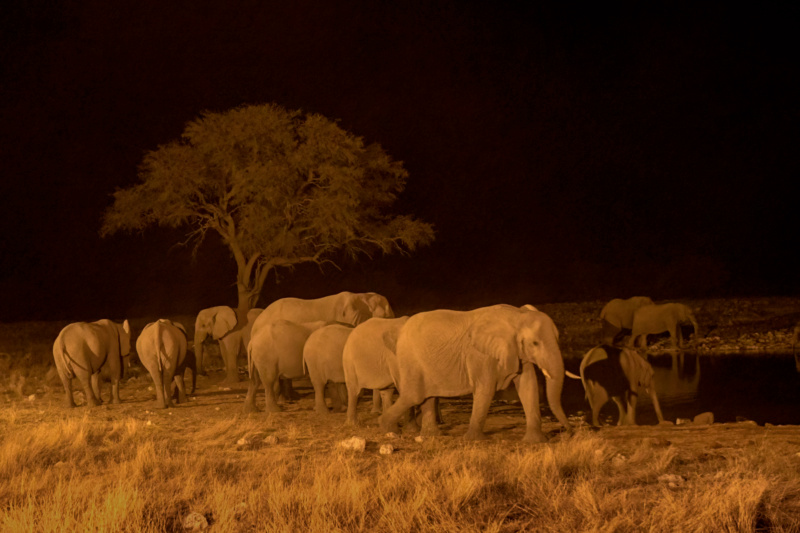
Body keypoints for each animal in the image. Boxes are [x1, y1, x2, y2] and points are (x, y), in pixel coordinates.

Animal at [378, 304, 572, 440]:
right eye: (535, 343)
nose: (570, 432)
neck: (517, 316)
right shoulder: (479, 355)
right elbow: (486, 389)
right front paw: (475, 440)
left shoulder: (517, 352)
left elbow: (528, 386)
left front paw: (536, 441)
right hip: (410, 359)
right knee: (414, 395)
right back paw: (386, 428)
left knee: (428, 396)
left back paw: (431, 435)